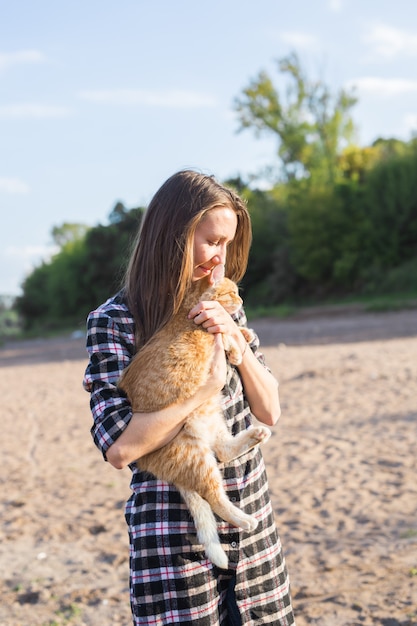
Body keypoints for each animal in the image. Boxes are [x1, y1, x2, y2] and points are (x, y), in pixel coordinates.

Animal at [118, 266, 272, 568]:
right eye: (232, 292)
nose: (241, 301)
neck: (188, 308)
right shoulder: (207, 332)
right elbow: (224, 335)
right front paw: (236, 348)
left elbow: (231, 329)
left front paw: (245, 334)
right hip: (197, 456)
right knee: (214, 496)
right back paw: (244, 520)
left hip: (212, 418)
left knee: (224, 450)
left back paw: (258, 434)